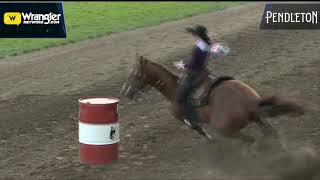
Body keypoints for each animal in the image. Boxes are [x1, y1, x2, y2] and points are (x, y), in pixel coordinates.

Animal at [120, 54, 308, 143]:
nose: (124, 92)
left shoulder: (186, 119)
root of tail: (249, 101)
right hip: (259, 119)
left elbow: (199, 130)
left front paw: (210, 141)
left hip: (227, 130)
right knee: (270, 133)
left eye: (135, 74)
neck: (173, 90)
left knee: (250, 139)